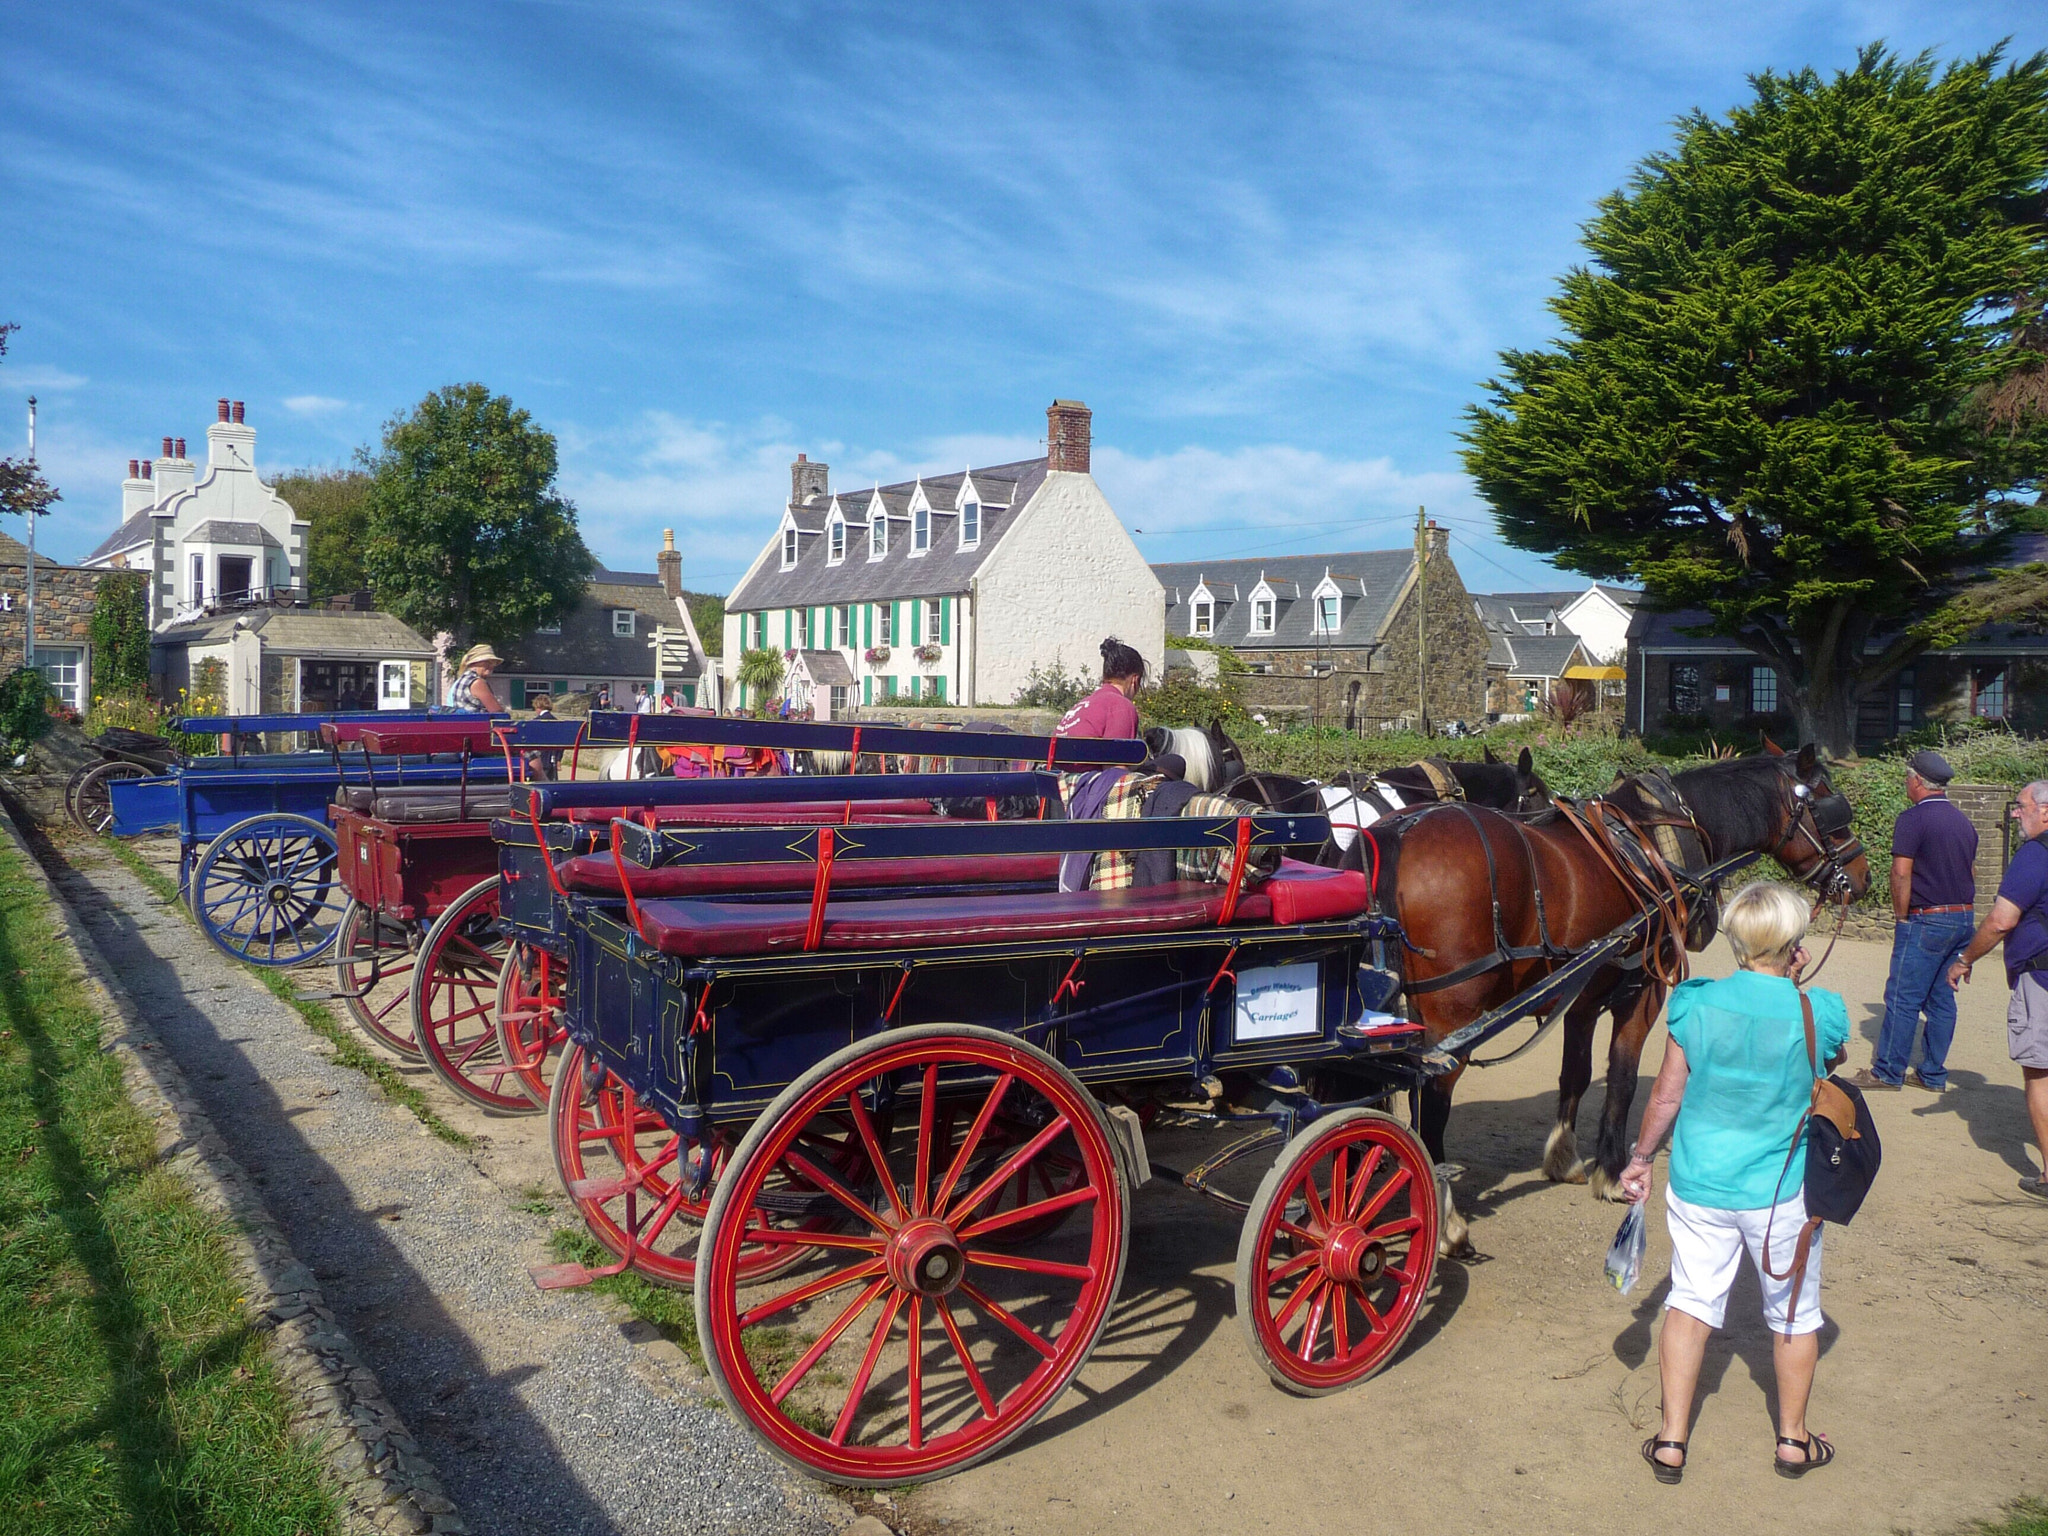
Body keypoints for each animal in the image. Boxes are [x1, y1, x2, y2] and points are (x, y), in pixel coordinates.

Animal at [1392, 753, 1875, 1253]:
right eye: (1832, 810)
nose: (1864, 877)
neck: (1656, 845)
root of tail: (1399, 836)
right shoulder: (1645, 989)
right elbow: (1622, 1078)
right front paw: (1612, 1173)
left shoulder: (1584, 995)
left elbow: (1576, 1074)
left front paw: (1564, 1158)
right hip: (1453, 1020)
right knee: (1432, 1108)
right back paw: (1448, 1221)